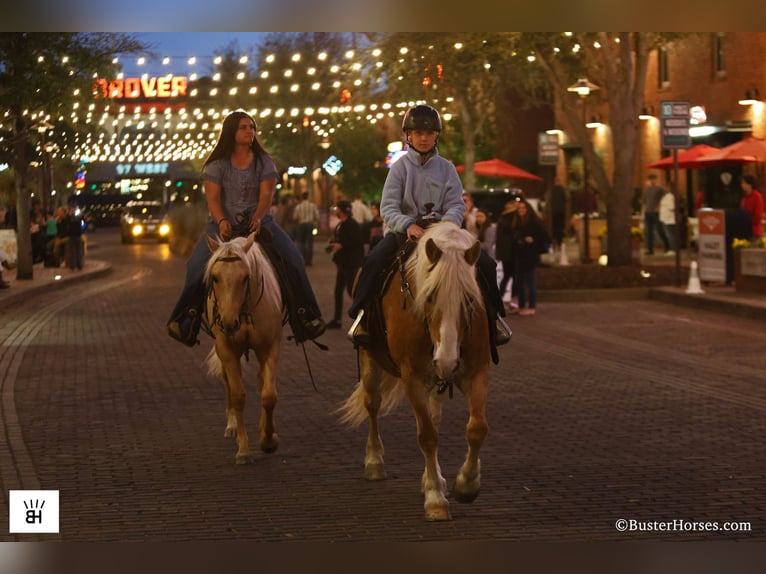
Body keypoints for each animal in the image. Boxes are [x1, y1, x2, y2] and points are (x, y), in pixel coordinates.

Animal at [204, 232, 284, 466]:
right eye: (215, 277)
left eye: (246, 277)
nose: (229, 323)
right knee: (229, 383)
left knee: (261, 381)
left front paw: (268, 440)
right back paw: (231, 426)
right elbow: (238, 395)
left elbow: (269, 394)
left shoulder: (270, 346)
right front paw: (243, 450)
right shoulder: (227, 350)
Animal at [340, 223, 492, 524]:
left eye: (470, 299)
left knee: (435, 416)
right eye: (430, 297)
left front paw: (466, 485)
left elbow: (476, 428)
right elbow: (427, 436)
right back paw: (374, 462)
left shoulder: (477, 372)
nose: (447, 360)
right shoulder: (413, 378)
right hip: (370, 361)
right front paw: (435, 499)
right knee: (372, 404)